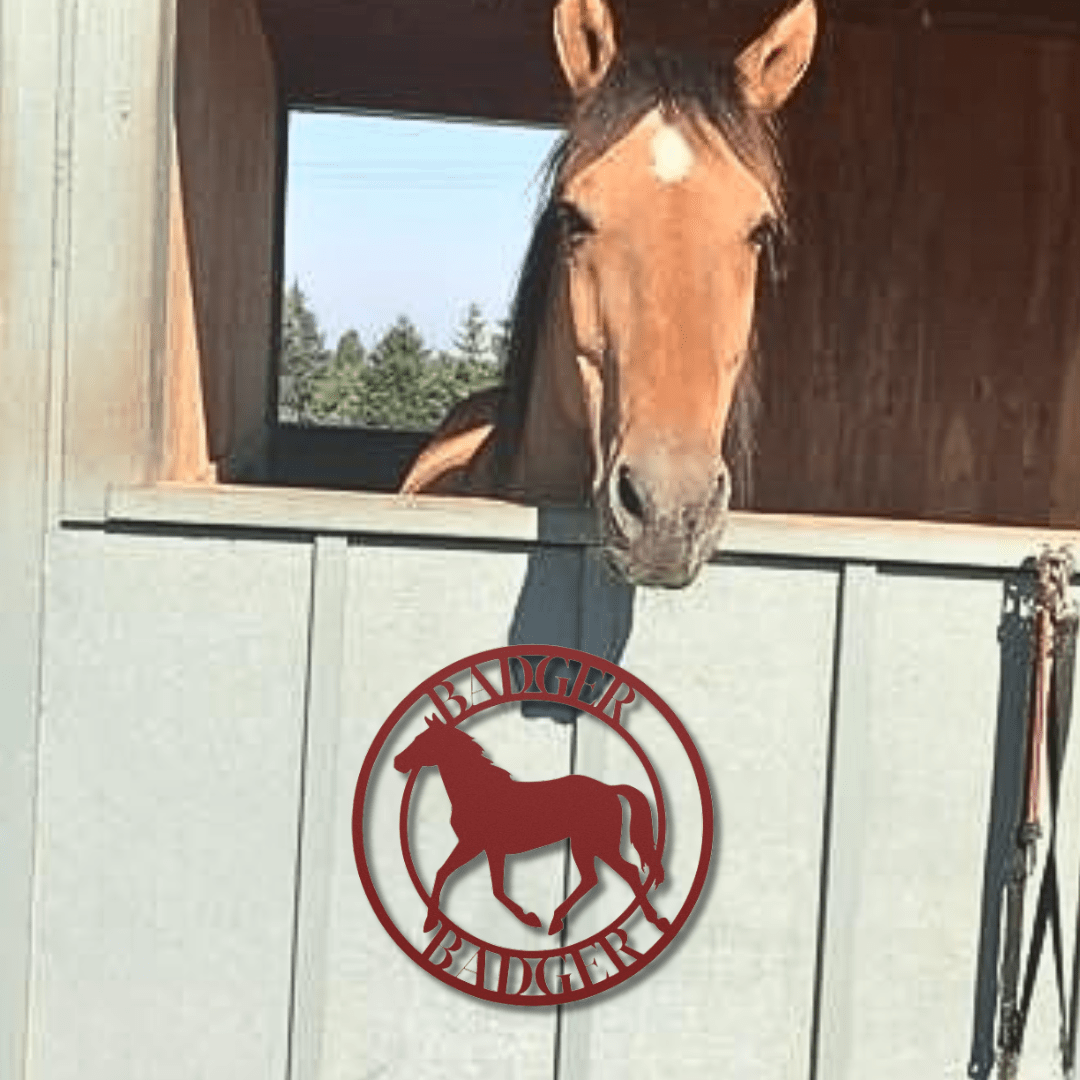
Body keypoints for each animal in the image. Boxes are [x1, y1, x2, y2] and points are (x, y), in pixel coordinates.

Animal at [397, 717, 665, 937]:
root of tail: (610, 789)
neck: (479, 792)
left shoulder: (477, 846)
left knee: (620, 873)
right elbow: (456, 876)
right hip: (590, 845)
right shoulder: (484, 848)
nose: (398, 762)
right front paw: (430, 923)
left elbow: (490, 888)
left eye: (424, 741)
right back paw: (557, 922)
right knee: (598, 878)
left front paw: (531, 919)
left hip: (595, 844)